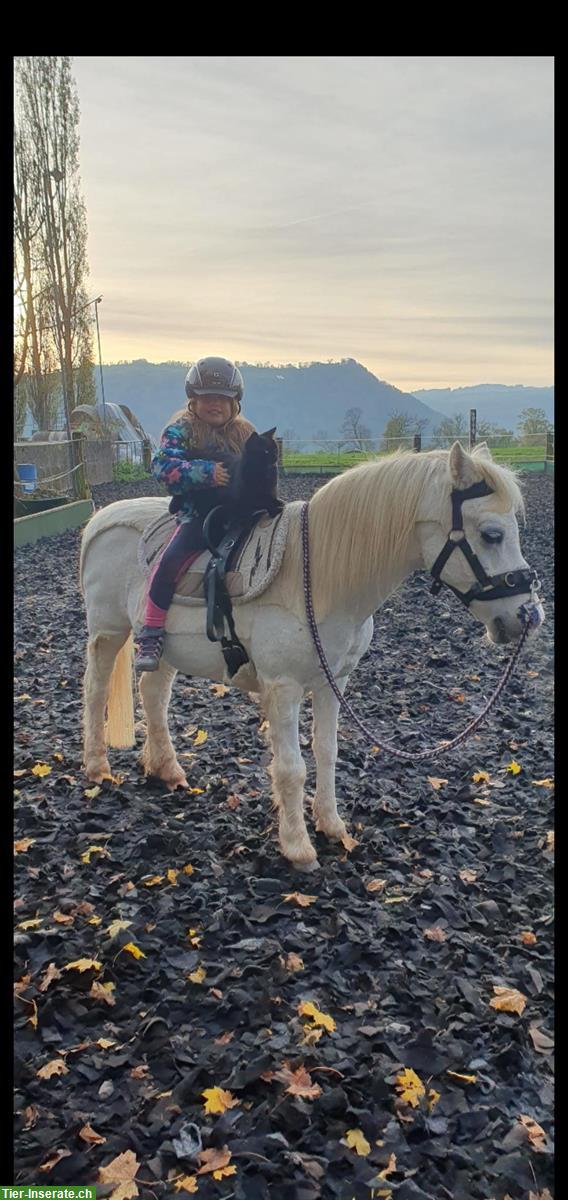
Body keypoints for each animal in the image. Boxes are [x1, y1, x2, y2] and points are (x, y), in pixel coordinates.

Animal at [78, 446, 540, 868]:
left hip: (165, 647)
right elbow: (291, 767)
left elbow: (326, 751)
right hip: (108, 632)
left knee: (152, 692)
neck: (316, 578)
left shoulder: (333, 682)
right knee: (97, 692)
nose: (529, 616)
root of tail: (100, 520)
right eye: (492, 534)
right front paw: (297, 847)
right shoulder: (283, 688)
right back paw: (97, 767)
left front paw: (331, 825)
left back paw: (167, 769)